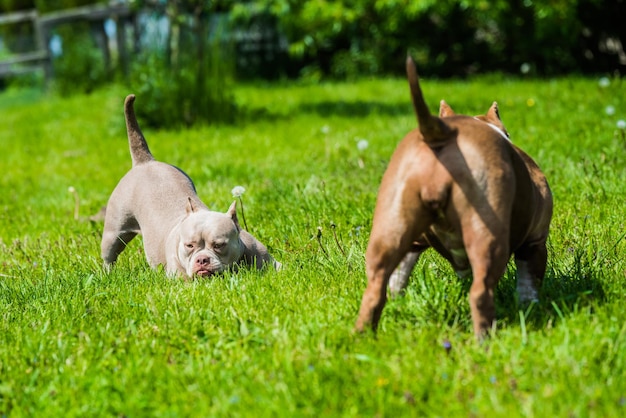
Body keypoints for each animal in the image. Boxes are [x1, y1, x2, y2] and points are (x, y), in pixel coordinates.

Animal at [356, 57, 552, 338]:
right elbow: (529, 284)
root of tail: (441, 133)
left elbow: (399, 276)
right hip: (487, 234)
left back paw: (362, 338)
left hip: (390, 228)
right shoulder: (536, 242)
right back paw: (485, 340)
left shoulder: (413, 243)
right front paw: (532, 310)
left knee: (374, 289)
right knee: (480, 293)